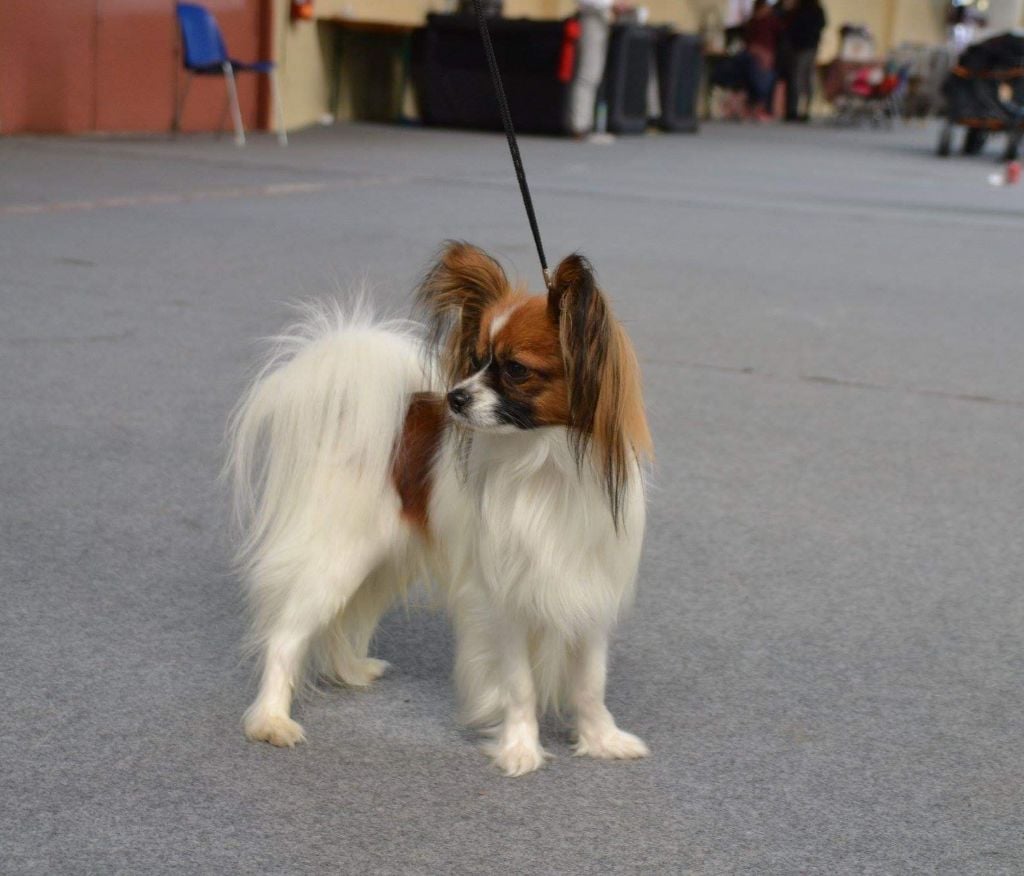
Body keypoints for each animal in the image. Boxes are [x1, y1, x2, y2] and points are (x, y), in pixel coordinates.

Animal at [228, 241, 651, 774]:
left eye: (515, 369)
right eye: (475, 359)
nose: (455, 396)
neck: (544, 464)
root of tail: (353, 417)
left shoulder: (587, 590)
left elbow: (591, 683)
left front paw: (602, 740)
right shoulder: (502, 599)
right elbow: (519, 685)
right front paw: (520, 751)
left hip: (384, 564)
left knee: (344, 618)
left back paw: (351, 670)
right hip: (337, 558)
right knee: (286, 636)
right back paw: (270, 720)